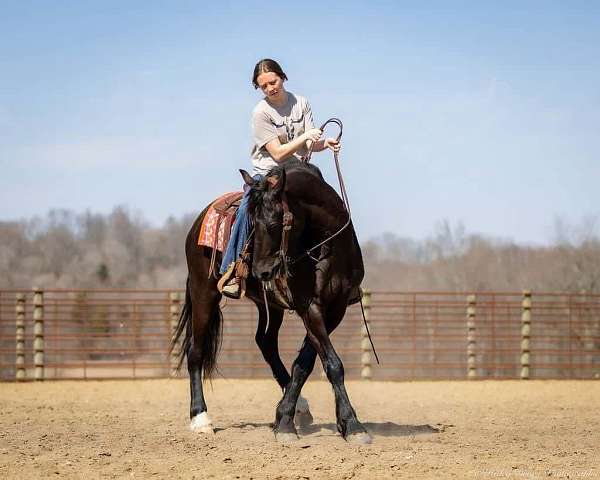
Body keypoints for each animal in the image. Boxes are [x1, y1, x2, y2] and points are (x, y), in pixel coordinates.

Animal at [171, 159, 372, 444]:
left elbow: (306, 363)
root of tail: (196, 224)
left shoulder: (336, 308)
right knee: (195, 351)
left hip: (270, 307)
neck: (325, 247)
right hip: (204, 292)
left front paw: (289, 417)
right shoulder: (310, 306)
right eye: (252, 224)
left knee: (265, 342)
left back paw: (300, 408)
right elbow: (332, 364)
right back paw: (200, 418)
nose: (261, 271)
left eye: (276, 222)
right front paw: (352, 425)